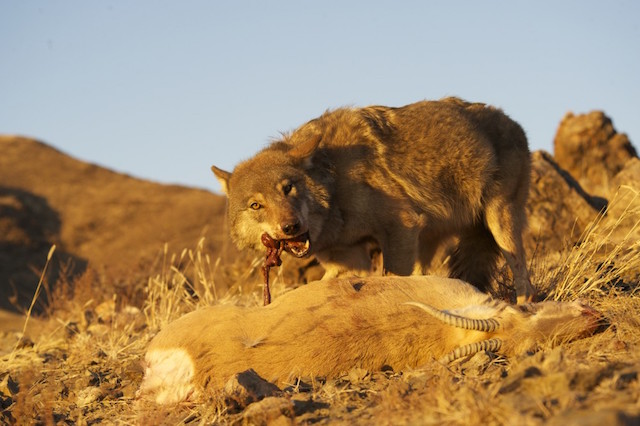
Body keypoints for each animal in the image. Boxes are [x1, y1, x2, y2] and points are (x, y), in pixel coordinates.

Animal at [214, 96, 536, 302]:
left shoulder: (401, 228)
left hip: (499, 222)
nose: (290, 227)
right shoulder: (349, 258)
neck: (335, 182)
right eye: (256, 205)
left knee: (523, 276)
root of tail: (515, 123)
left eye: (288, 188)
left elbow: (390, 277)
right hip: (429, 240)